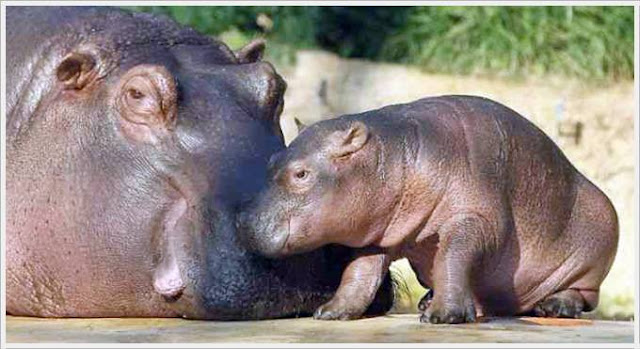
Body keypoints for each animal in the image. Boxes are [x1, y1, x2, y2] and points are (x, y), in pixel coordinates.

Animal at [238, 94, 616, 322]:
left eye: (301, 173)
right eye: (272, 159)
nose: (241, 221)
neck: (394, 156)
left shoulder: (475, 219)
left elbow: (453, 257)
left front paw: (443, 316)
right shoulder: (379, 235)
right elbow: (359, 273)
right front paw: (330, 311)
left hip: (597, 243)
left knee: (585, 294)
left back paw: (555, 306)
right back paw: (427, 299)